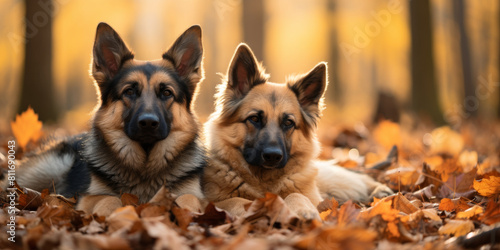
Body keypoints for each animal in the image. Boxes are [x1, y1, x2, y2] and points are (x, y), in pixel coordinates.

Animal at [6, 22, 205, 216]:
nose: (148, 122)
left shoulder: (191, 193)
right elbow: (110, 199)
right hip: (49, 169)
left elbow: (189, 198)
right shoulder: (88, 197)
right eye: (129, 91)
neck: (145, 169)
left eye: (166, 93)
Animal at [201, 44, 392, 219]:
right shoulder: (213, 202)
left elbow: (296, 194)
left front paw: (303, 210)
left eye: (288, 122)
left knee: (359, 179)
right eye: (254, 118)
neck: (264, 180)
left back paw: (380, 190)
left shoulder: (313, 197)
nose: (272, 156)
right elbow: (235, 201)